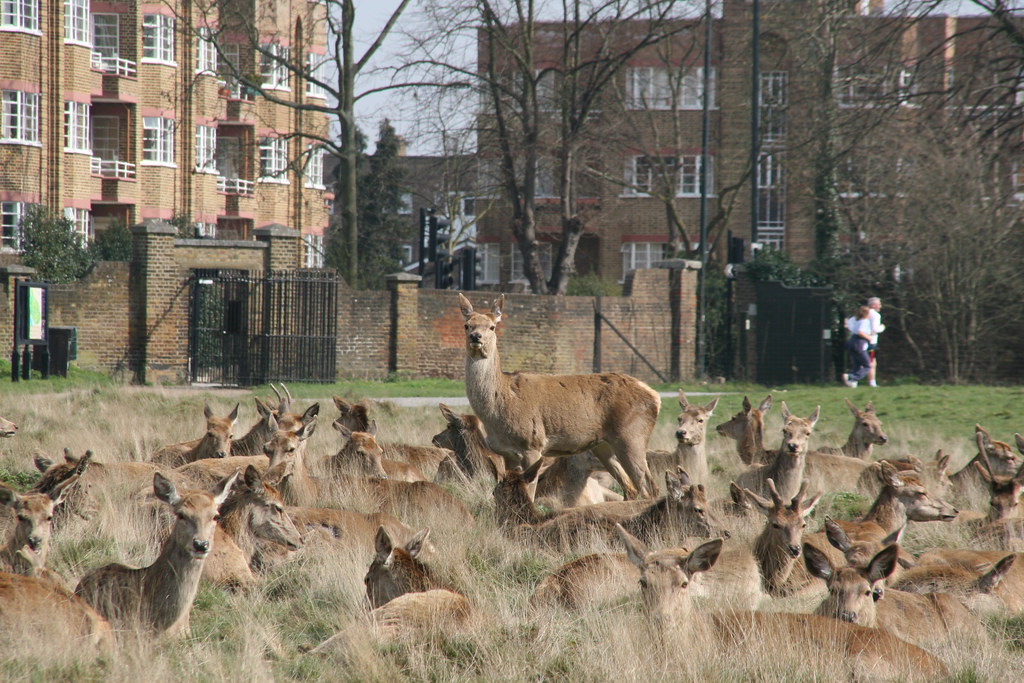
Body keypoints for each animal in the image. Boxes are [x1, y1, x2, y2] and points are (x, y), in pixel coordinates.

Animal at [459, 293, 661, 499]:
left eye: (492, 326)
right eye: (467, 325)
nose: (476, 336)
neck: (501, 402)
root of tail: (655, 395)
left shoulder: (533, 444)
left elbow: (530, 492)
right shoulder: (506, 452)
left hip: (632, 436)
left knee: (649, 488)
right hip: (604, 446)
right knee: (630, 487)